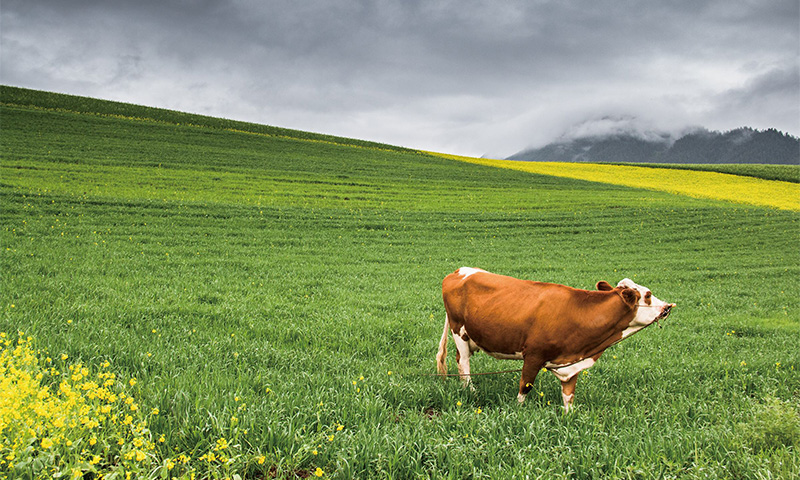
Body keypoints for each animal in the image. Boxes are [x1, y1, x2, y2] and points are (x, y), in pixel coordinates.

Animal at [438, 268, 676, 410]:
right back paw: (470, 391)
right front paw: (518, 410)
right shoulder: (533, 355)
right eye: (648, 295)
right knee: (463, 362)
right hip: (459, 331)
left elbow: (569, 397)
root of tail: (458, 271)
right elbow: (525, 386)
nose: (667, 306)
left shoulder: (571, 364)